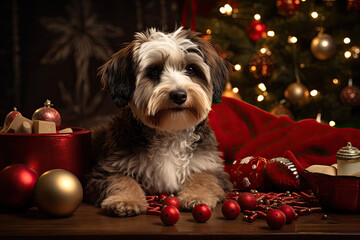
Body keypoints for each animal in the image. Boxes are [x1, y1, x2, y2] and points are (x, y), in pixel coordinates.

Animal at [84, 27, 233, 217]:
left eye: (191, 69)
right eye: (154, 71)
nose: (179, 95)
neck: (170, 131)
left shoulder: (214, 169)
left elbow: (204, 176)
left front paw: (197, 196)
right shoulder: (104, 171)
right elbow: (121, 179)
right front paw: (125, 200)